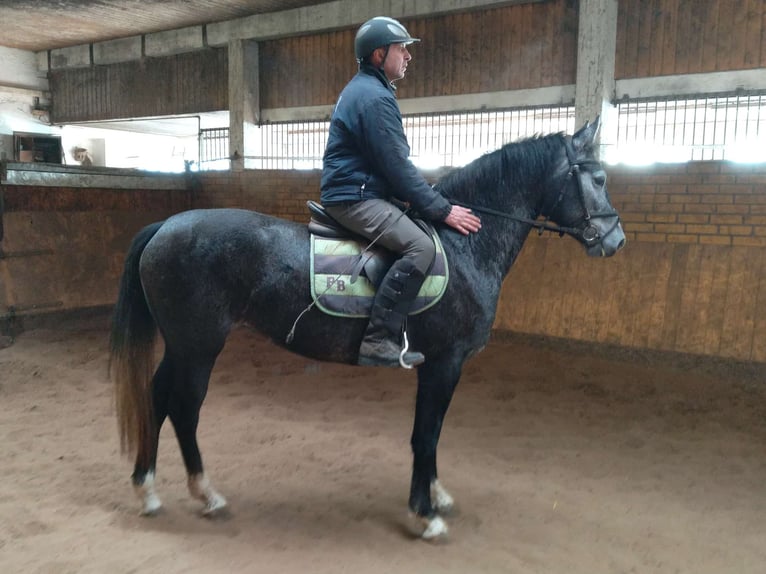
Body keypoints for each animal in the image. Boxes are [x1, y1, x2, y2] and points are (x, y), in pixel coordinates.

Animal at [109, 117, 624, 540]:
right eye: (598, 178)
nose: (615, 240)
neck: (463, 247)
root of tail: (166, 225)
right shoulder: (445, 362)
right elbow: (426, 434)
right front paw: (424, 515)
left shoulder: (439, 365)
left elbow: (432, 431)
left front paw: (436, 496)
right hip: (199, 345)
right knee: (183, 408)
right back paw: (204, 494)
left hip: (183, 345)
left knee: (158, 399)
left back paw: (149, 489)